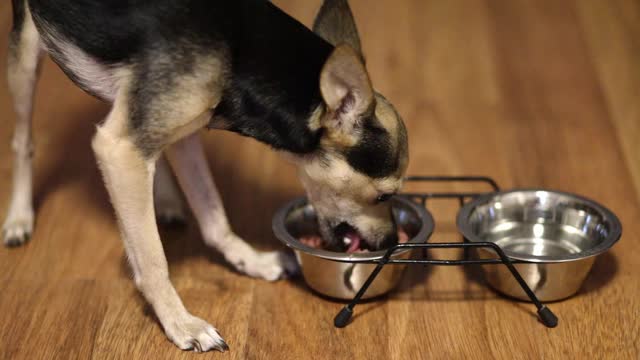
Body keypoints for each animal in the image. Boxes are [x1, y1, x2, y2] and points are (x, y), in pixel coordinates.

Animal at [3, 0, 404, 352]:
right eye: (384, 196)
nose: (390, 242)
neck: (238, 54)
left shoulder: (181, 133)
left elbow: (214, 218)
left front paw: (250, 260)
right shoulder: (117, 149)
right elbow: (152, 260)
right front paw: (181, 324)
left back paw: (163, 199)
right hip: (26, 55)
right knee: (23, 141)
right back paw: (19, 218)